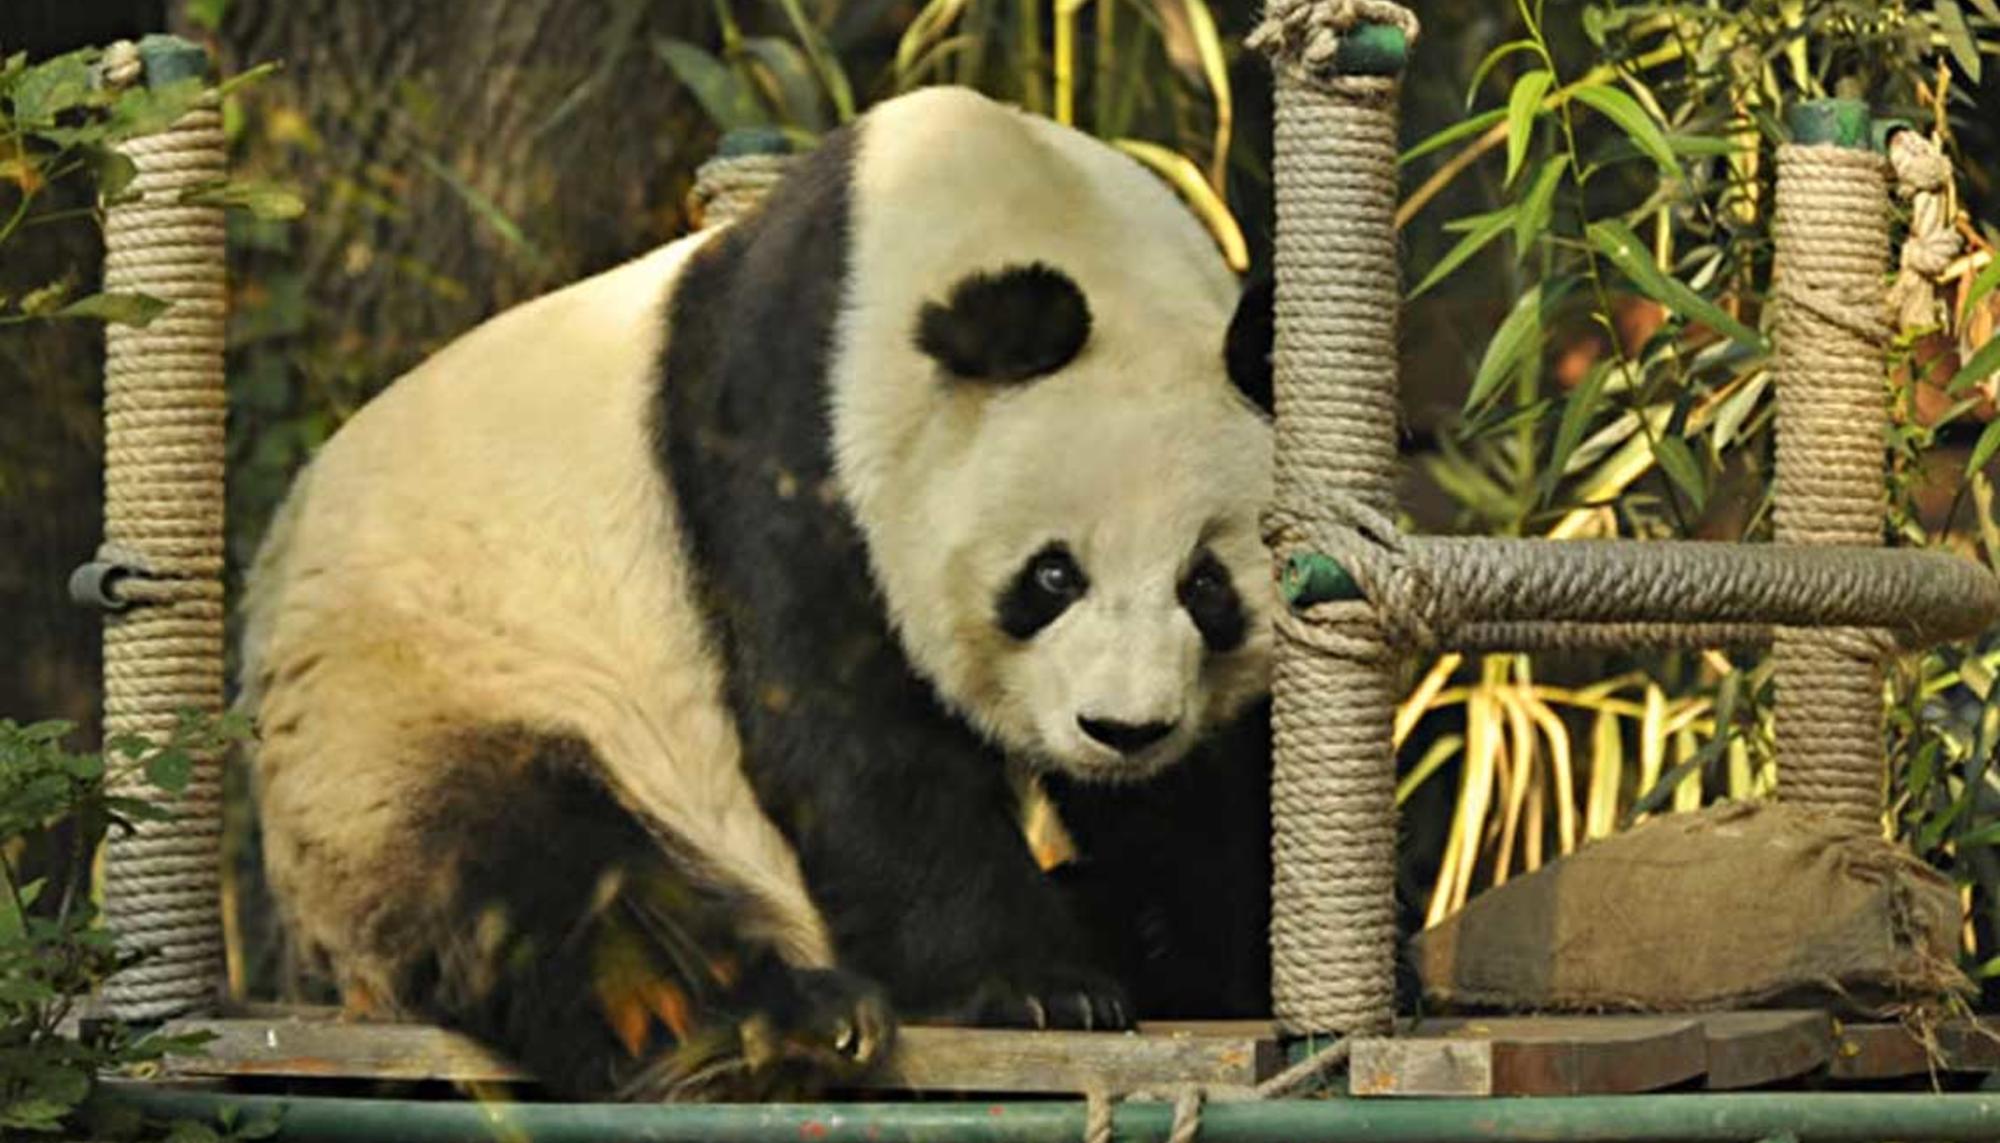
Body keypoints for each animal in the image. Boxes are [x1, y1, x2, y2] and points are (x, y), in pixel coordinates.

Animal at [238, 86, 1276, 1101]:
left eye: (1207, 586)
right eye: (1052, 575)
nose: (1125, 732)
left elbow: (1213, 793)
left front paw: (1215, 953)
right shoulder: (787, 439)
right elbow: (847, 738)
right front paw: (1037, 988)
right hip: (414, 699)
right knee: (549, 874)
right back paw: (780, 1025)